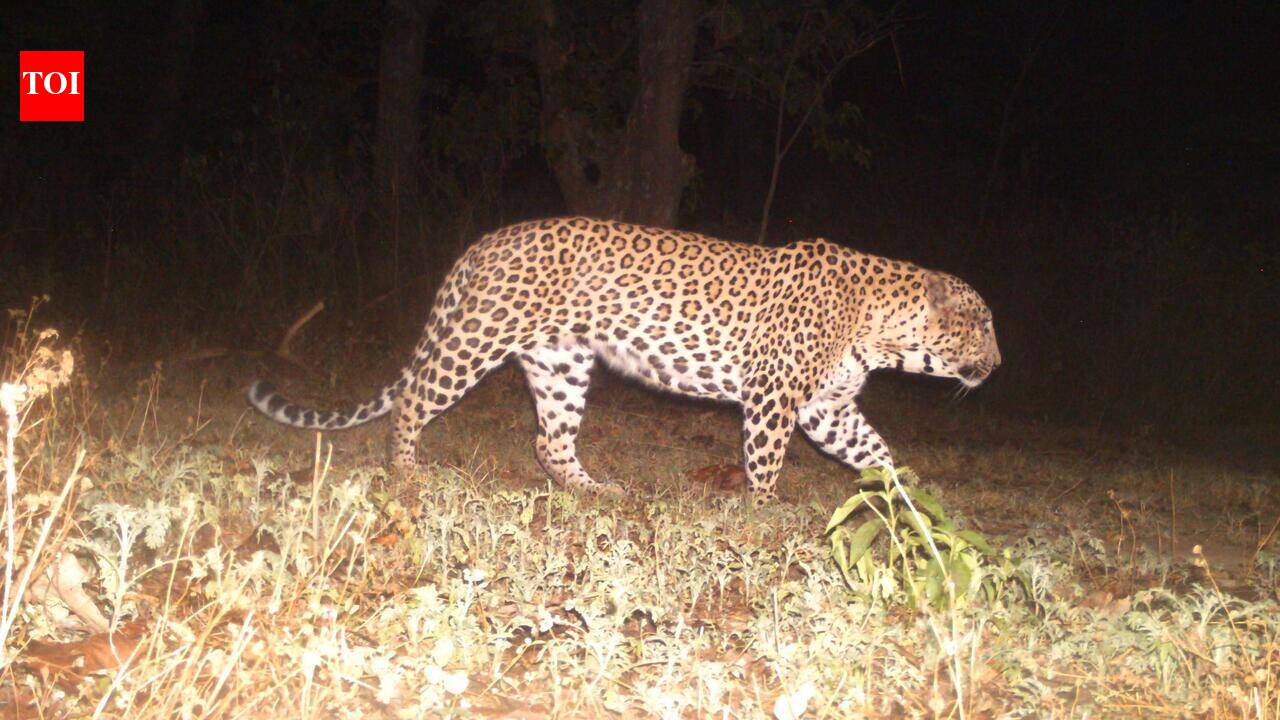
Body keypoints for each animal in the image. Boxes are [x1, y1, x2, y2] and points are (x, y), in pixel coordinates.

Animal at [249, 216, 1001, 506]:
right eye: (985, 326)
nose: (998, 364)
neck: (882, 331)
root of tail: (486, 241)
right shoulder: (775, 397)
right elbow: (765, 462)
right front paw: (762, 512)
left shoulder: (826, 408)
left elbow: (875, 449)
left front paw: (910, 498)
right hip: (477, 339)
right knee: (412, 400)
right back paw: (408, 471)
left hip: (561, 364)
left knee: (548, 441)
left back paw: (593, 490)